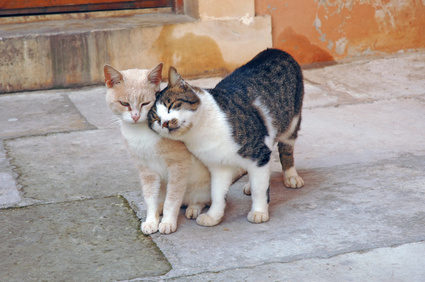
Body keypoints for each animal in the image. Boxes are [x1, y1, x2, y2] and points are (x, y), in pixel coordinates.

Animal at [103, 62, 212, 235]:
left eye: (145, 103)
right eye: (124, 104)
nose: (135, 116)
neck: (140, 134)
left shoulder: (178, 166)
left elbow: (172, 200)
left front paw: (167, 222)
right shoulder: (146, 171)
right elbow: (150, 198)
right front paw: (151, 221)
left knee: (198, 200)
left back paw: (193, 208)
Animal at [147, 49, 304, 227]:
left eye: (171, 105)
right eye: (156, 119)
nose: (165, 123)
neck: (201, 133)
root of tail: (275, 50)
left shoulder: (258, 151)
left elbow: (260, 189)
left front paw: (259, 212)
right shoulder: (218, 166)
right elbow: (217, 193)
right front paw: (213, 216)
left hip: (291, 124)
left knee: (286, 149)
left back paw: (291, 176)